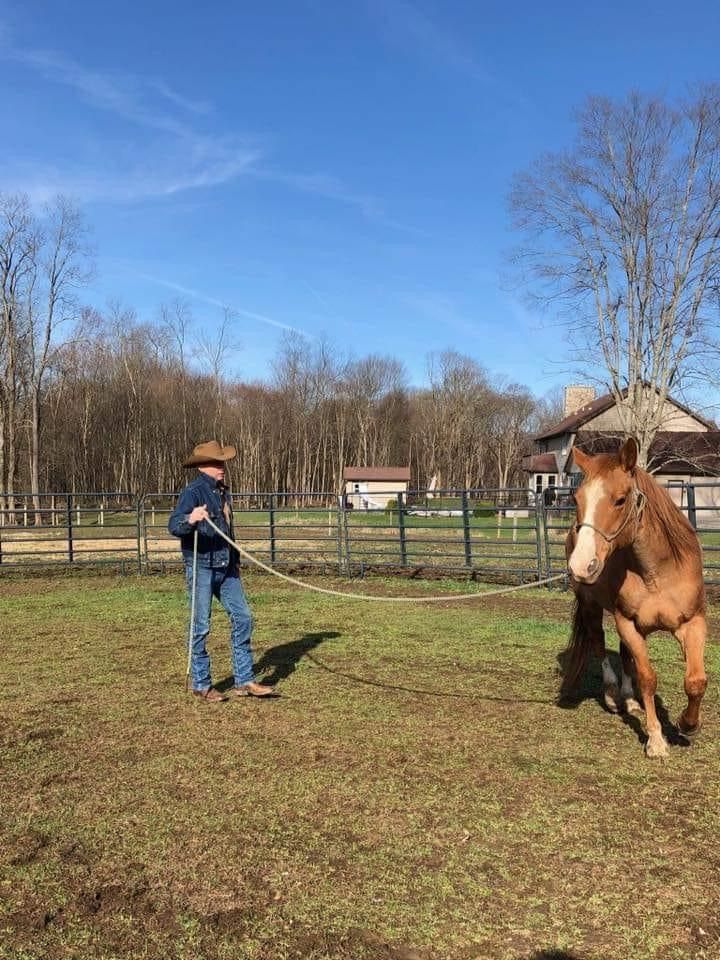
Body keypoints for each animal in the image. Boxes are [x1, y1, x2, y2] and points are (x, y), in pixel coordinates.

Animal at [561, 437, 707, 758]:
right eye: (576, 500)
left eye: (620, 500)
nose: (581, 564)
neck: (657, 572)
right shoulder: (626, 621)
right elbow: (647, 678)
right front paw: (656, 740)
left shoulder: (693, 623)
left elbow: (695, 681)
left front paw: (687, 724)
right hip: (592, 607)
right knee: (599, 644)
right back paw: (613, 696)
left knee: (624, 654)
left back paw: (629, 701)